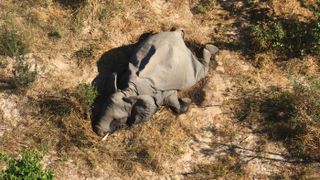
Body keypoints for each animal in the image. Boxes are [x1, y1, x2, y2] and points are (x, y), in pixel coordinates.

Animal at [91, 29, 219, 136]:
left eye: (118, 119)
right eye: (101, 109)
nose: (98, 131)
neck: (133, 89)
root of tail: (177, 34)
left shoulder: (163, 93)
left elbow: (174, 103)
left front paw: (185, 102)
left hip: (190, 68)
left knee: (201, 70)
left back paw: (213, 49)